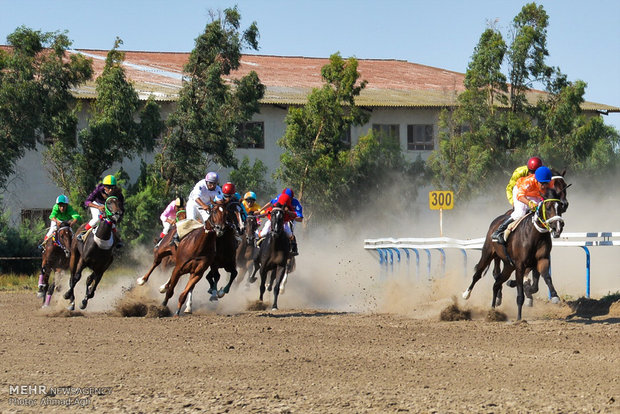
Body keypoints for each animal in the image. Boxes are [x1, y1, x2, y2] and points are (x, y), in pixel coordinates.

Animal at [460, 186, 568, 322]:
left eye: (560, 207)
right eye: (548, 207)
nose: (558, 228)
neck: (535, 235)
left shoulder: (541, 260)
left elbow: (545, 278)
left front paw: (554, 296)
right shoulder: (520, 265)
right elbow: (520, 293)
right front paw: (519, 318)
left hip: (508, 265)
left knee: (497, 283)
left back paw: (492, 311)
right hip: (488, 254)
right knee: (478, 274)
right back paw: (466, 294)